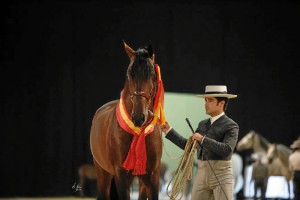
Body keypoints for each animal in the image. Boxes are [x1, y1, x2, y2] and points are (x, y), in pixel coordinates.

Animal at [90, 41, 165, 199]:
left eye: (152, 76)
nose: (138, 117)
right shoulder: (121, 176)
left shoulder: (153, 177)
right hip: (103, 172)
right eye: (130, 74)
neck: (138, 132)